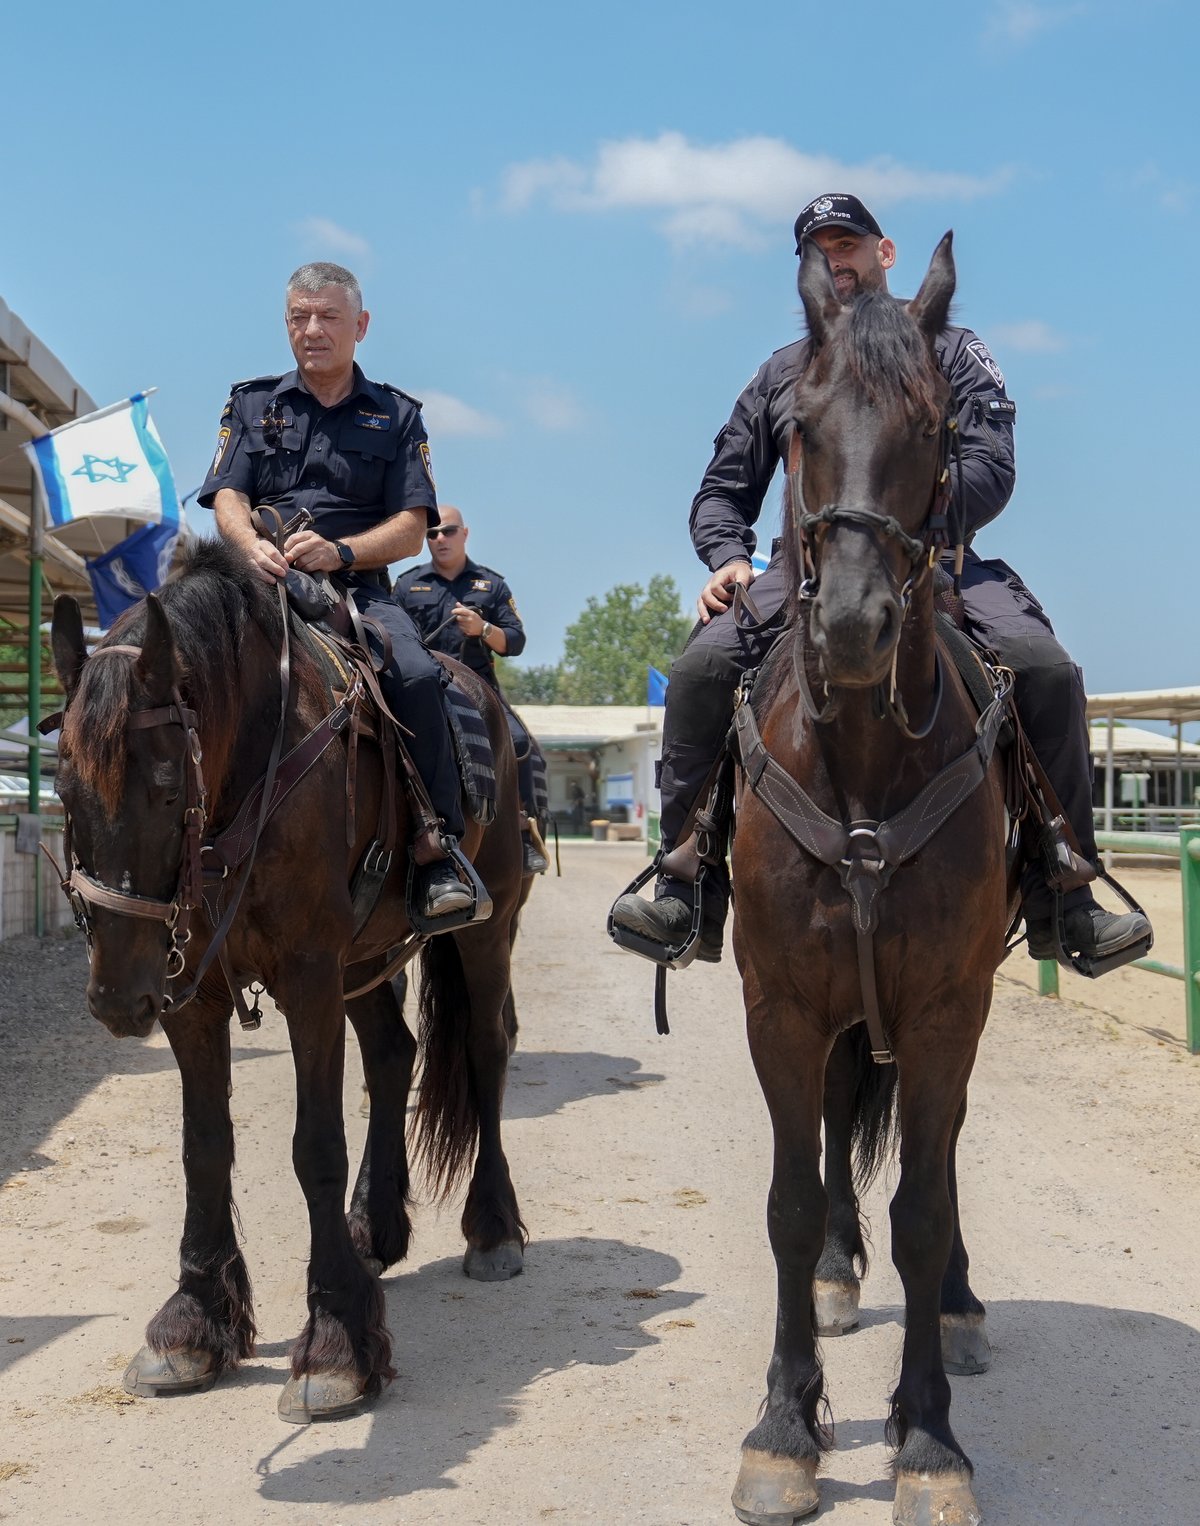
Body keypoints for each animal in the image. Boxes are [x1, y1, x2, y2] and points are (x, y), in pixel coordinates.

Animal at [50, 543, 528, 1422]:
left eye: (166, 786)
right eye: (64, 788)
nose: (116, 999)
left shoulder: (307, 976)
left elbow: (316, 1147)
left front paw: (337, 1342)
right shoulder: (193, 994)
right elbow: (205, 1146)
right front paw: (192, 1323)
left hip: (485, 927)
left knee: (485, 1049)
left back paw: (493, 1228)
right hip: (363, 962)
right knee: (394, 1054)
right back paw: (376, 1227)